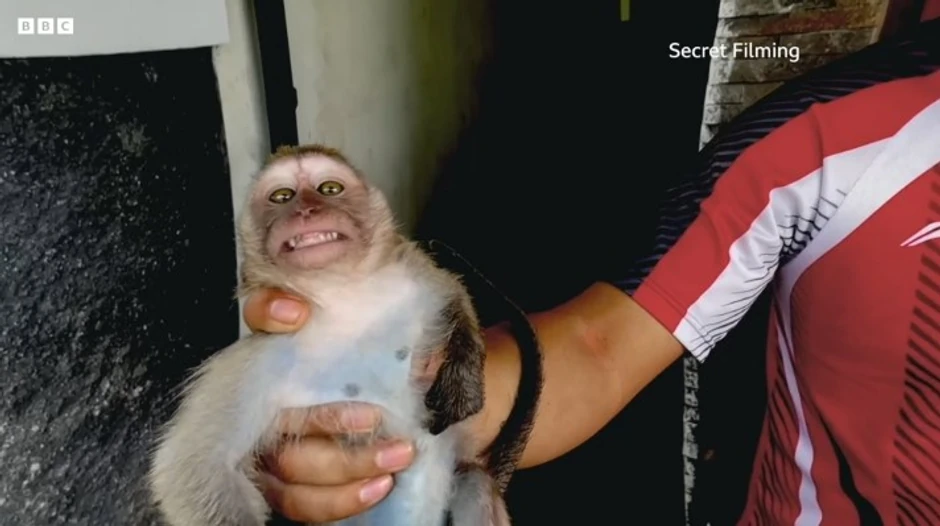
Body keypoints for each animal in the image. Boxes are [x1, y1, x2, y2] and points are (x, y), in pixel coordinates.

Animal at [148, 144, 543, 526]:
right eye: (282, 196)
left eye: (329, 189)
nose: (307, 210)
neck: (343, 299)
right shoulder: (256, 362)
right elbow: (195, 467)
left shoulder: (413, 280)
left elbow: (452, 291)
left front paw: (464, 376)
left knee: (474, 482)